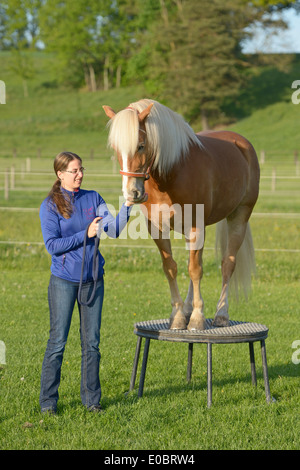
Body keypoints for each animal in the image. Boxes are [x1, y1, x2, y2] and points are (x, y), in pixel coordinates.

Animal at [102, 98, 258, 330]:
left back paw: (221, 313)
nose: (132, 193)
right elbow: (171, 268)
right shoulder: (158, 229)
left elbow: (195, 270)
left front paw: (197, 318)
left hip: (239, 217)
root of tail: (241, 143)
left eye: (141, 145)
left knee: (227, 263)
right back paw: (186, 309)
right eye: (115, 149)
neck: (173, 173)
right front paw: (177, 316)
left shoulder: (196, 227)